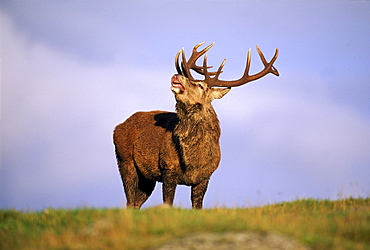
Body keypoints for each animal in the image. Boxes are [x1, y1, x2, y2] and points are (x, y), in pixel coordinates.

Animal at [114, 43, 278, 209]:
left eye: (200, 85)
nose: (177, 75)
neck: (193, 163)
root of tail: (119, 126)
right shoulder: (168, 167)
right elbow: (168, 203)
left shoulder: (205, 176)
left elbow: (197, 206)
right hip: (124, 158)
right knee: (129, 199)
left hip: (147, 177)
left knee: (135, 202)